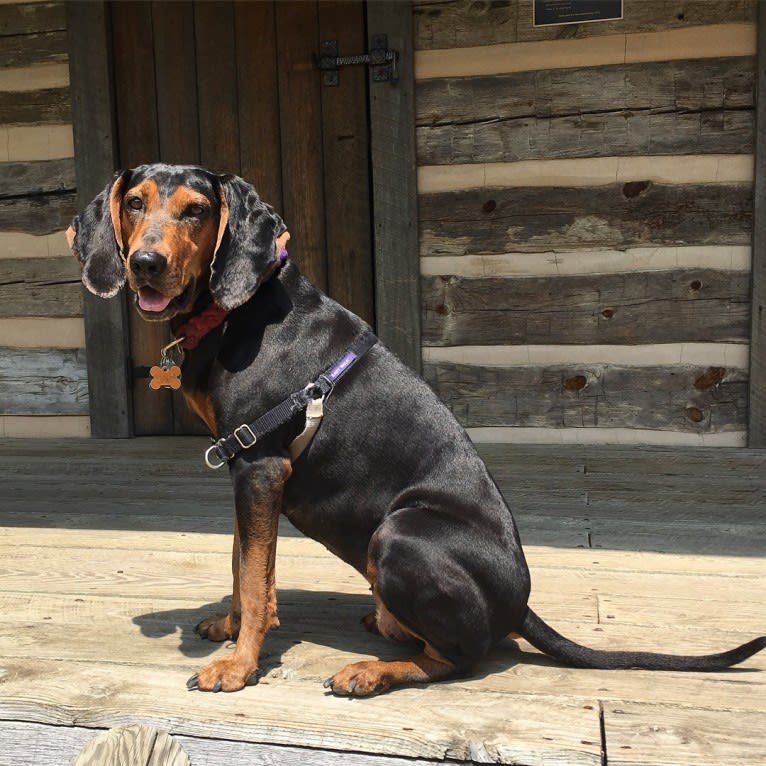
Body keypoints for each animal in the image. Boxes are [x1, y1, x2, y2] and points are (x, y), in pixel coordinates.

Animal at [69, 165, 764, 700]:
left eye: (197, 211)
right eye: (134, 203)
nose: (145, 264)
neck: (238, 308)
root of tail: (519, 605)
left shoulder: (260, 463)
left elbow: (259, 580)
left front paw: (239, 666)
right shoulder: (245, 471)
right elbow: (244, 562)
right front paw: (228, 627)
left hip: (399, 533)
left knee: (461, 658)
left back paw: (371, 672)